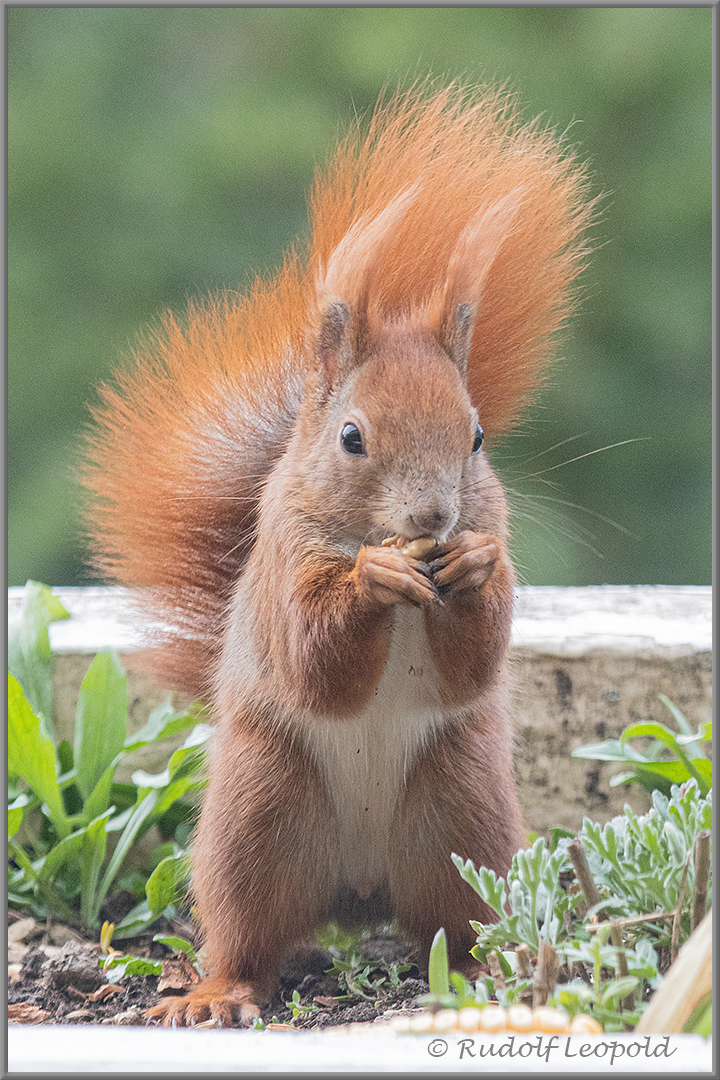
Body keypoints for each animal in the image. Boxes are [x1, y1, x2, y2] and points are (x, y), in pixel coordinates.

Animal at [84, 82, 591, 1019]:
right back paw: (218, 992)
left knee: (456, 923)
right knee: (248, 934)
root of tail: (357, 894)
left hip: (461, 816)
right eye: (352, 437)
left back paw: (482, 975)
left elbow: (477, 658)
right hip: (259, 818)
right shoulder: (286, 559)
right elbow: (314, 658)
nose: (434, 516)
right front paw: (373, 577)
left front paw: (477, 570)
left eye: (475, 437)